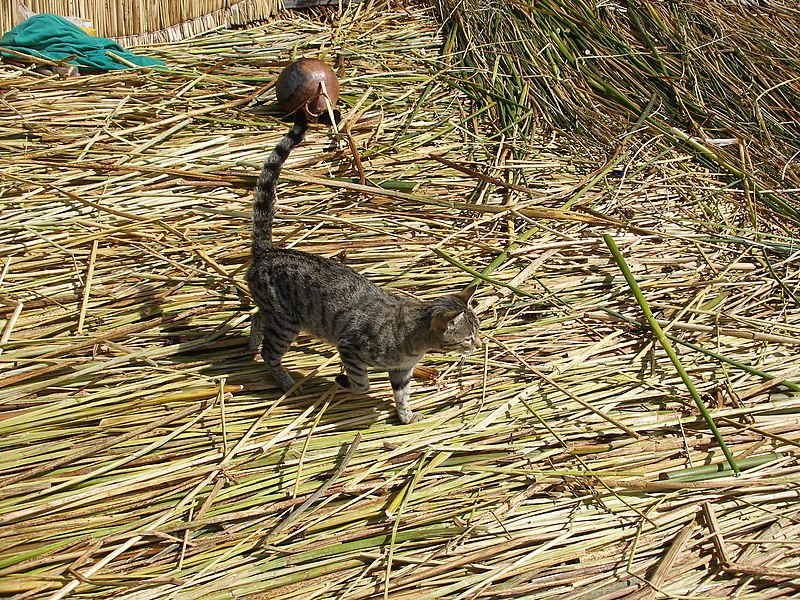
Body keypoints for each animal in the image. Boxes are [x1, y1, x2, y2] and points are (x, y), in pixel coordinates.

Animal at [245, 111, 482, 422]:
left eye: (477, 334)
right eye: (467, 339)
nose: (479, 346)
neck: (415, 340)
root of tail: (267, 251)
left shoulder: (402, 371)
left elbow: (402, 395)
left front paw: (406, 417)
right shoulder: (351, 347)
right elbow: (362, 384)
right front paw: (343, 381)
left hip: (278, 316)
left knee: (257, 318)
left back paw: (251, 345)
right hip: (286, 323)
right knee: (270, 353)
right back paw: (286, 382)